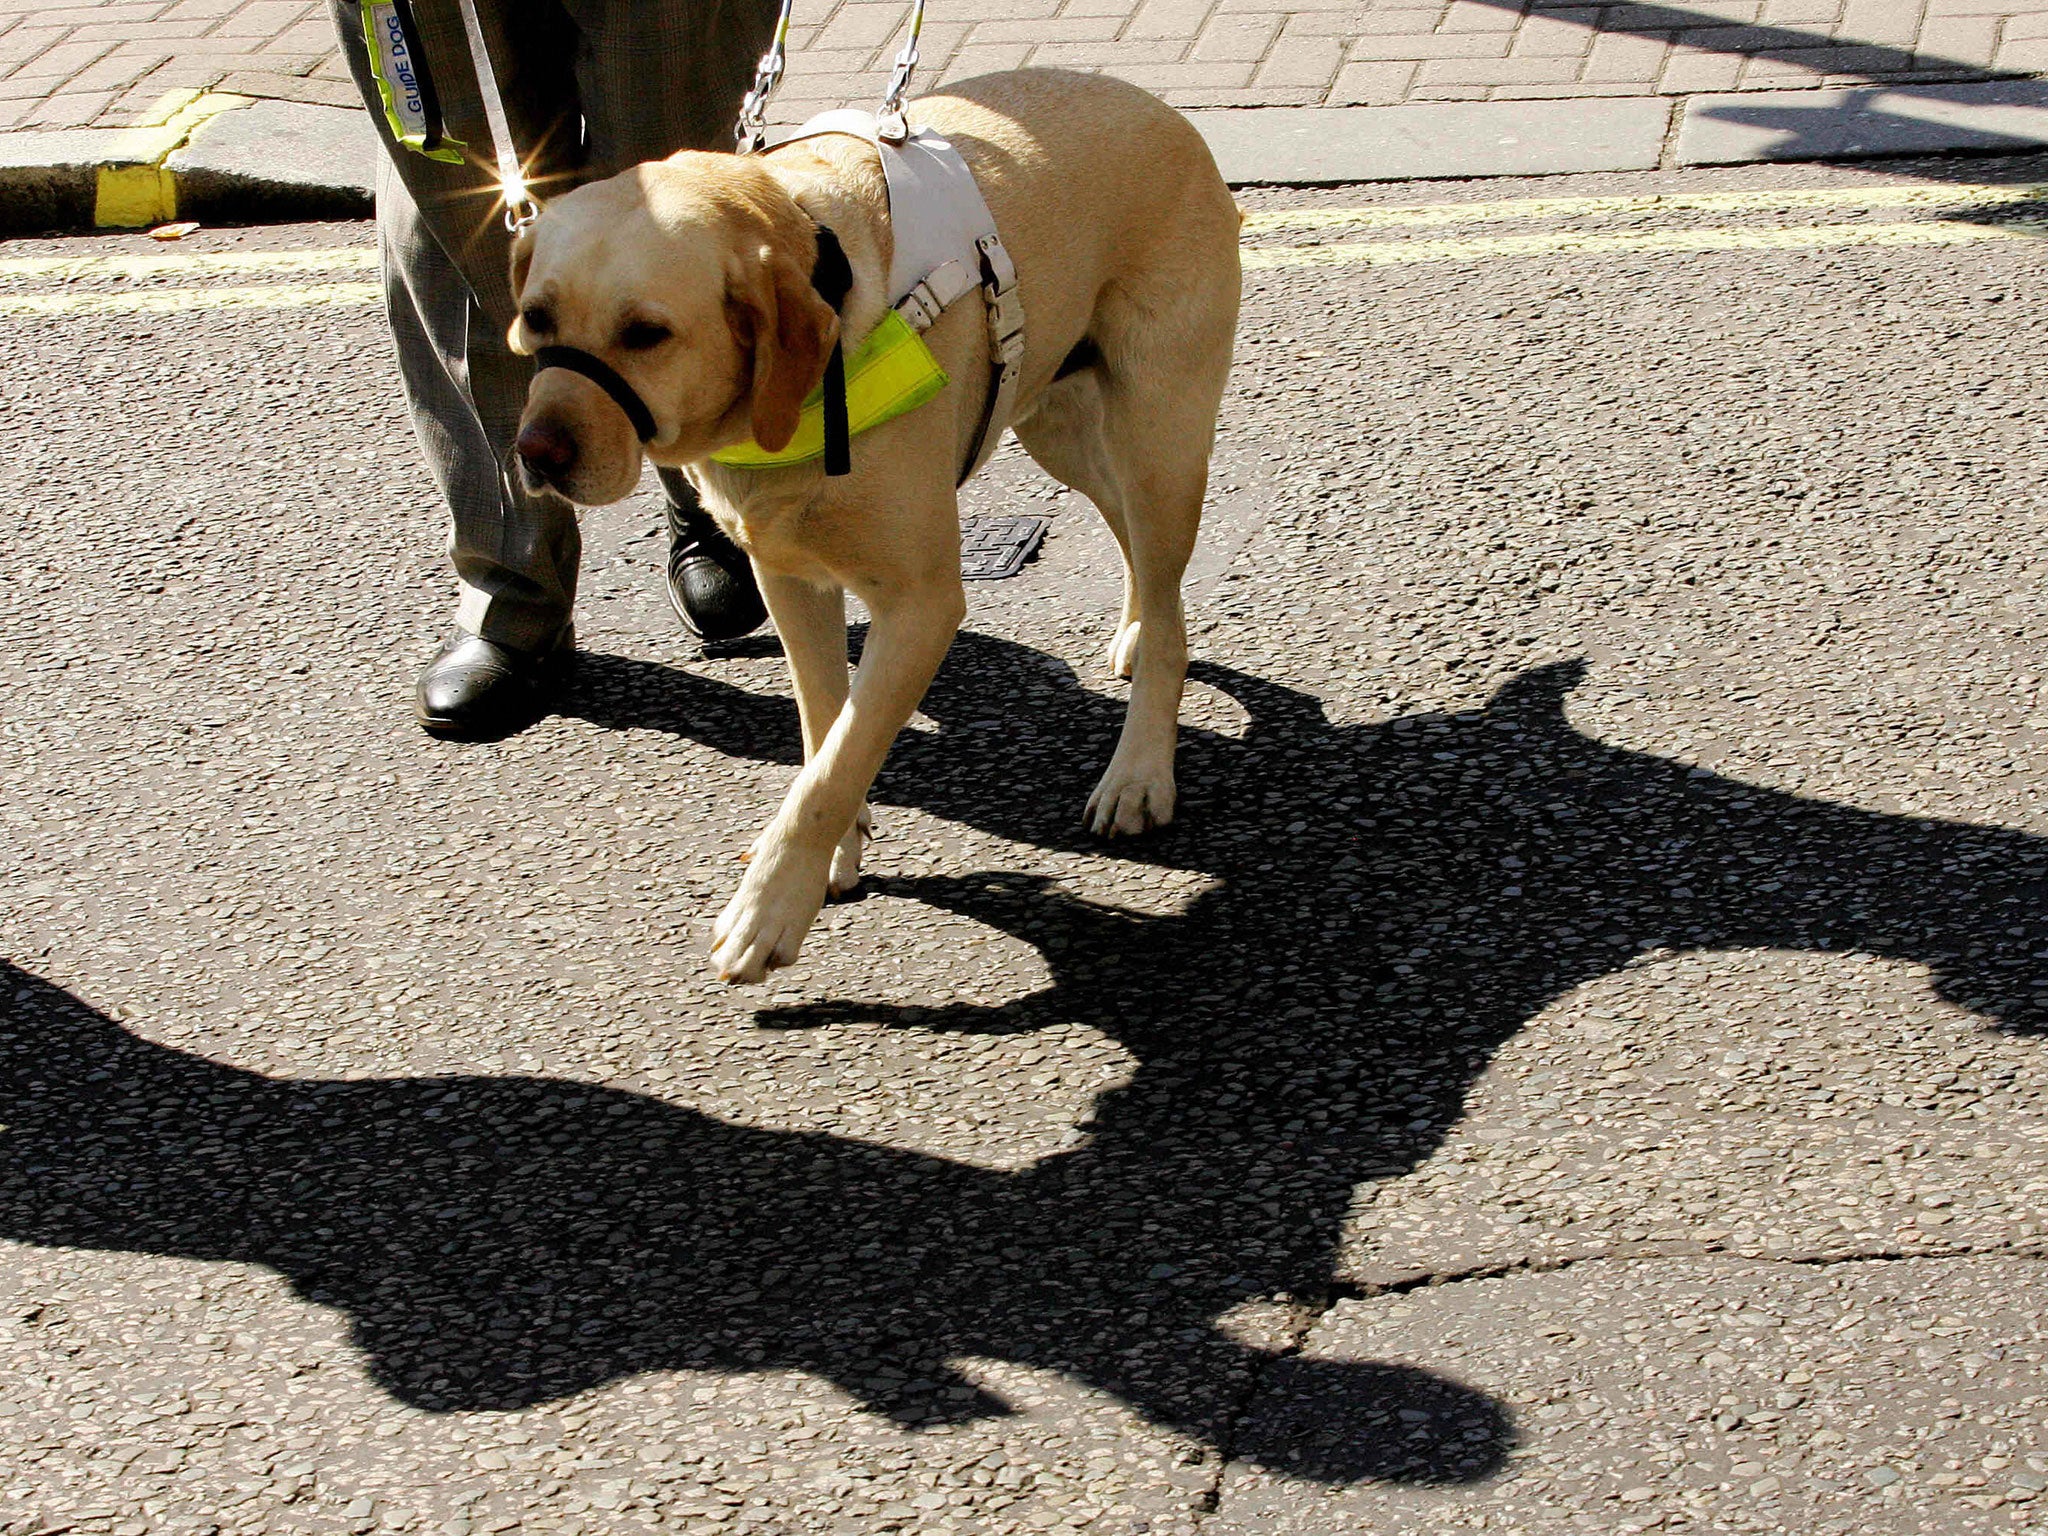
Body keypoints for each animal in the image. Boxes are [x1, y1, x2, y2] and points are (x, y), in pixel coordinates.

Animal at [503, 72, 1236, 978]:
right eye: (536, 318)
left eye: (646, 334)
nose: (536, 451)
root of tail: (1160, 107)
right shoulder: (788, 576)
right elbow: (825, 733)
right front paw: (834, 855)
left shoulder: (922, 605)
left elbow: (832, 767)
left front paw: (770, 907)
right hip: (1059, 423)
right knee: (1140, 554)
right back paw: (1137, 629)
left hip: (1157, 434)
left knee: (1166, 589)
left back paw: (1139, 770)